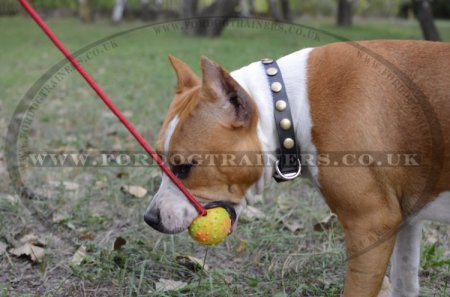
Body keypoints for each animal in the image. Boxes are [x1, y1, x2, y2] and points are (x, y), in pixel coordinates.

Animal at [144, 40, 450, 296]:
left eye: (184, 168)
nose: (150, 218)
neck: (287, 105)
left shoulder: (371, 223)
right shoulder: (407, 218)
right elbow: (404, 280)